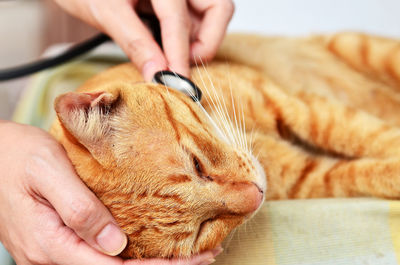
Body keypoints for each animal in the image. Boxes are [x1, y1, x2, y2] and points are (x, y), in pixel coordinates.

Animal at [50, 32, 400, 256]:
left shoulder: (304, 108)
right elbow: (358, 172)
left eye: (197, 165)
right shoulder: (308, 178)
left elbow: (369, 135)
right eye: (202, 229)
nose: (257, 195)